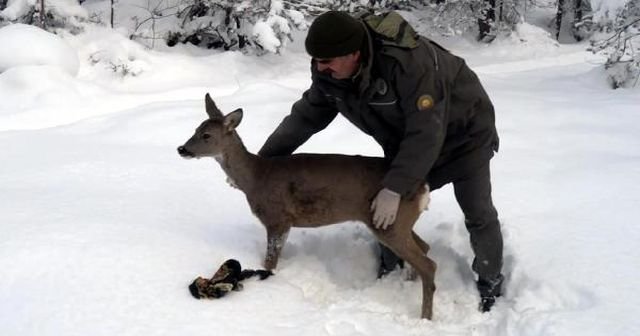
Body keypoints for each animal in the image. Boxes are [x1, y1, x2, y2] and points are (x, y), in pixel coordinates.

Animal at [179, 93, 440, 318]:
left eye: (207, 135)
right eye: (195, 130)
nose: (182, 148)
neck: (256, 178)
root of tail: (423, 187)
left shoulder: (278, 218)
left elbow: (269, 262)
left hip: (390, 222)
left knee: (429, 264)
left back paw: (425, 317)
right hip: (399, 222)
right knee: (425, 247)